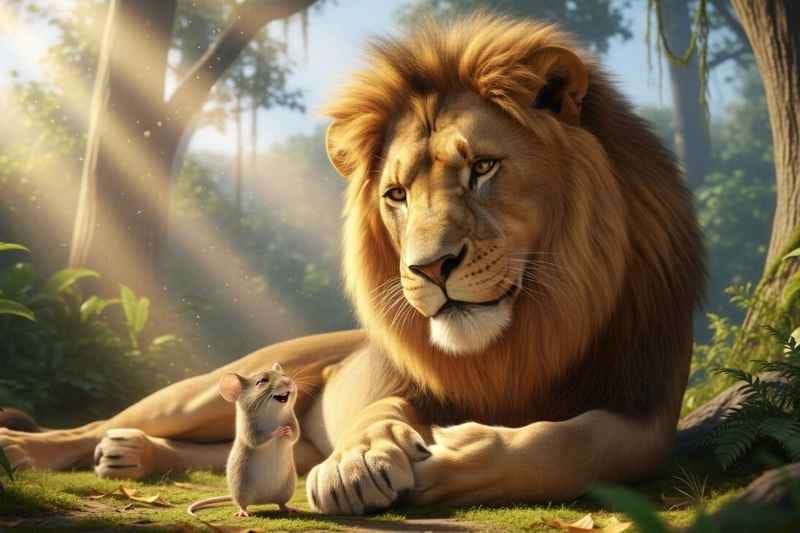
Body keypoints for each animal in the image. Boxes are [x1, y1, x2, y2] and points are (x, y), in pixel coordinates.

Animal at [0, 14, 704, 514]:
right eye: (396, 195)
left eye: (483, 167)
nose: (428, 269)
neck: (522, 338)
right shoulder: (387, 374)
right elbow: (378, 407)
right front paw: (360, 462)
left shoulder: (648, 412)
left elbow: (577, 444)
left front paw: (454, 455)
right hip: (212, 384)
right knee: (109, 418)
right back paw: (29, 448)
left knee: (222, 448)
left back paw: (131, 458)